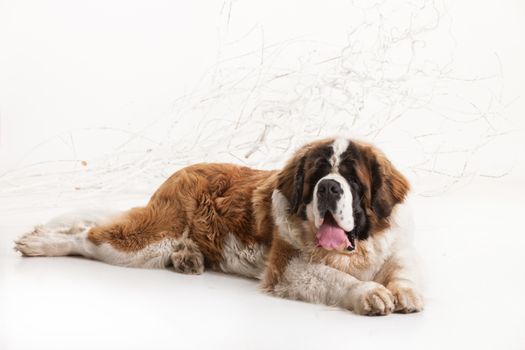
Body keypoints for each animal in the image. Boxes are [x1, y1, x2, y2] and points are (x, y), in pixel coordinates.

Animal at [13, 138, 422, 316]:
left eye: (352, 179)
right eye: (317, 175)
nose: (329, 187)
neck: (354, 252)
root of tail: (179, 172)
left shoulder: (390, 247)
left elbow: (402, 269)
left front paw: (403, 291)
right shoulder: (289, 269)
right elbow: (337, 278)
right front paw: (370, 293)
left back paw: (188, 258)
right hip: (147, 240)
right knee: (88, 238)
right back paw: (42, 243)